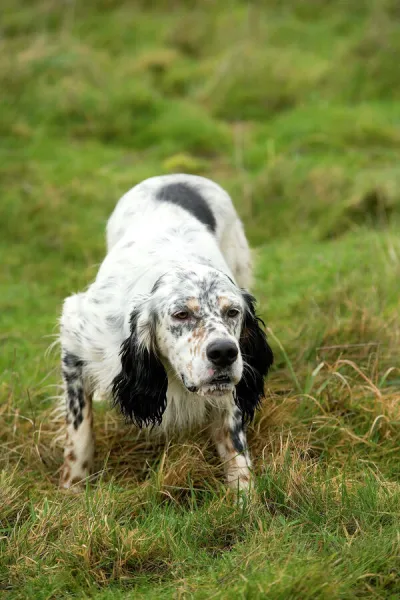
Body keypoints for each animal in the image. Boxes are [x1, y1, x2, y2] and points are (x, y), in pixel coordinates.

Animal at [59, 173, 274, 492]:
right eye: (181, 314)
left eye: (233, 312)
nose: (224, 352)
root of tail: (175, 176)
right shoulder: (75, 334)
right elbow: (79, 428)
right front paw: (72, 488)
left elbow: (235, 445)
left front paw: (246, 497)